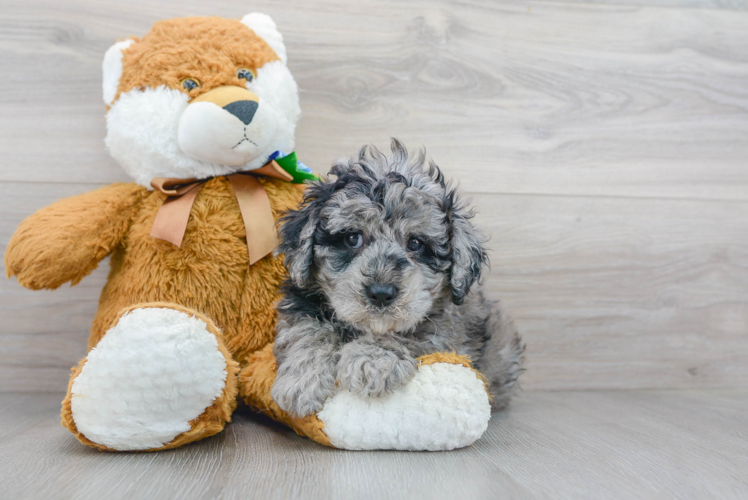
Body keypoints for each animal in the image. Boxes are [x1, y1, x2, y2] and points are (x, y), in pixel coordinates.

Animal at [272, 141, 524, 418]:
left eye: (415, 243)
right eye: (352, 238)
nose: (381, 293)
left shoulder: (447, 330)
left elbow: (408, 333)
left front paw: (371, 359)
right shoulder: (301, 302)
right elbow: (307, 331)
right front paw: (302, 380)